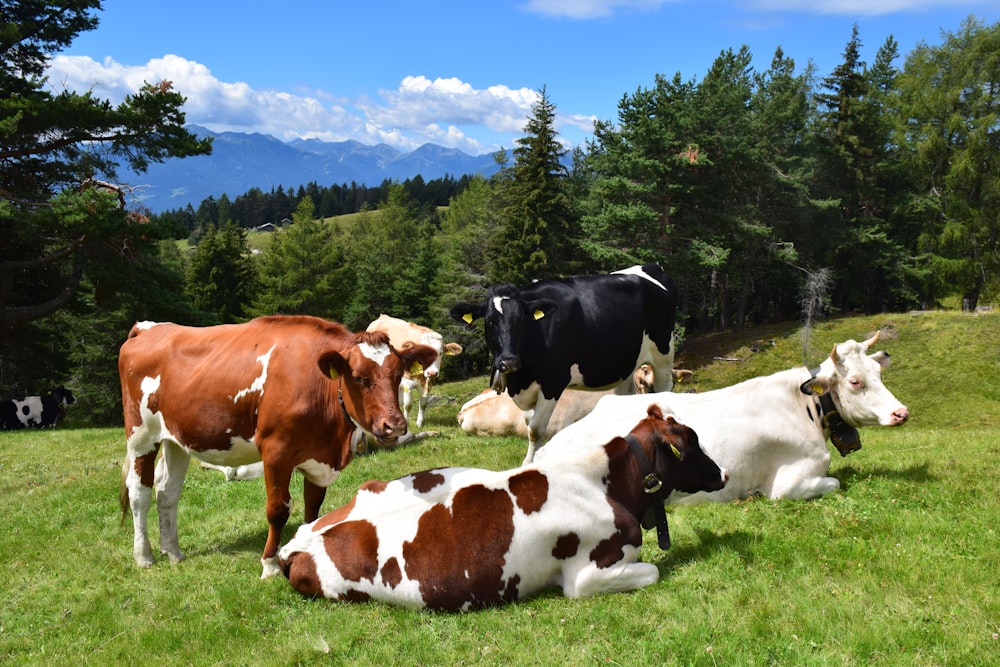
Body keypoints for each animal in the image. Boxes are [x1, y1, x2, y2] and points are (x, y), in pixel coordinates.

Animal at [117, 316, 438, 576]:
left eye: (397, 376)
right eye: (360, 378)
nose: (395, 425)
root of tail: (149, 327)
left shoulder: (316, 456)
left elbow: (313, 507)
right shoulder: (276, 452)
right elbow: (277, 509)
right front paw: (269, 564)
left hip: (177, 440)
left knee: (167, 493)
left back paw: (173, 551)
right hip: (142, 434)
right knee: (139, 494)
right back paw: (144, 555)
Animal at [278, 402, 732, 612]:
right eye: (692, 442)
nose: (724, 473)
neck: (606, 483)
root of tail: (295, 545)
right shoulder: (584, 578)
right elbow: (653, 571)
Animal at [536, 332, 912, 504]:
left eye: (878, 372)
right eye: (855, 381)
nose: (901, 412)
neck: (806, 407)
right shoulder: (789, 483)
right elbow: (835, 483)